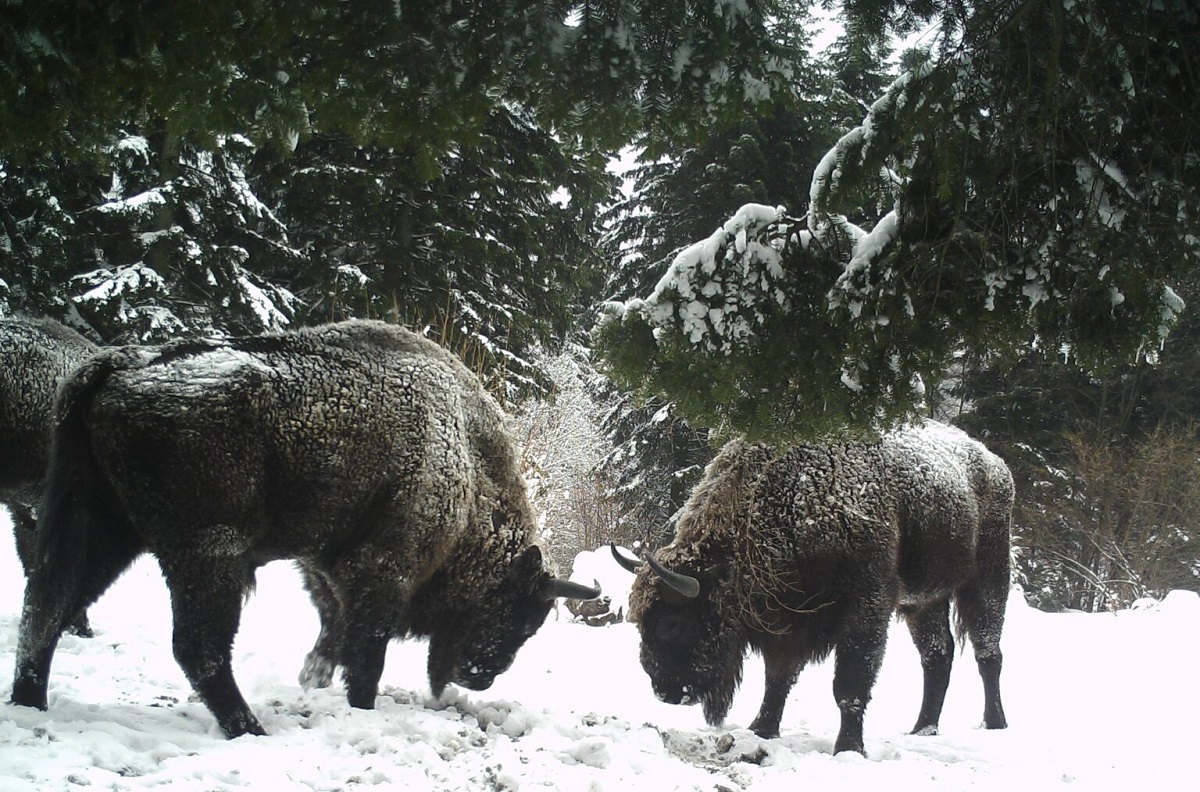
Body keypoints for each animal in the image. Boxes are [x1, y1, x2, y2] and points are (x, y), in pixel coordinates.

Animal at [609, 420, 1012, 753]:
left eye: (672, 623)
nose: (664, 690)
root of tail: (995, 463)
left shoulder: (865, 607)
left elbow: (849, 684)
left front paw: (848, 748)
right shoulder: (787, 620)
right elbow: (777, 678)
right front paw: (762, 728)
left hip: (988, 577)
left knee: (987, 652)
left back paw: (995, 723)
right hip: (925, 602)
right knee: (936, 655)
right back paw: (922, 729)